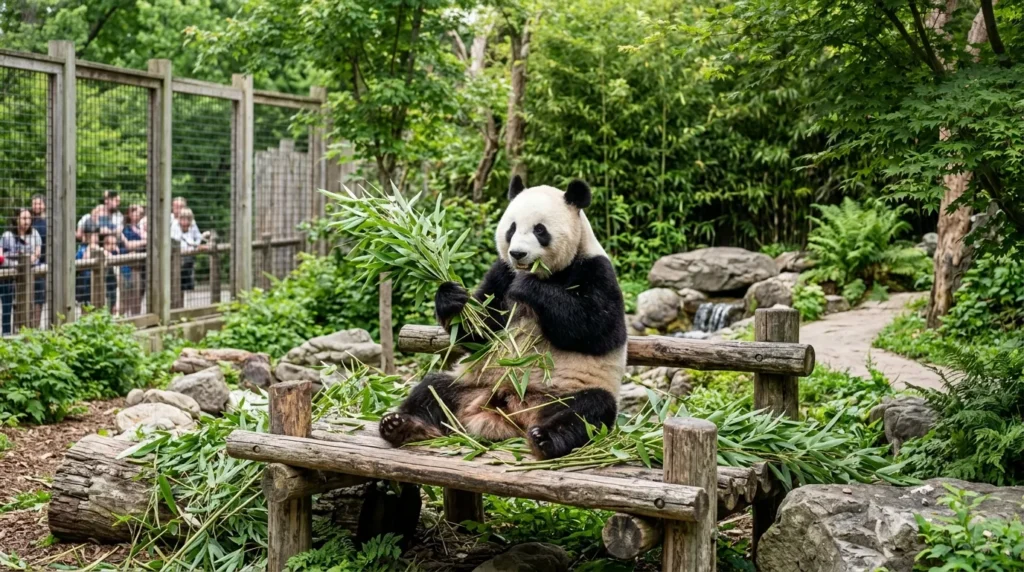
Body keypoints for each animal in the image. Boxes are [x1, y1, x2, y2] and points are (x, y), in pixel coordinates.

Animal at [379, 175, 627, 459]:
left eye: (540, 230)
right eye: (512, 228)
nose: (517, 253)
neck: (543, 272)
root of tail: (512, 412)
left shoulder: (595, 269)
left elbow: (599, 329)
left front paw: (529, 288)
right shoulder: (501, 272)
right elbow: (480, 331)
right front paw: (451, 298)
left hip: (568, 392)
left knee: (588, 410)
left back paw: (545, 439)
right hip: (470, 383)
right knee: (432, 389)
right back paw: (400, 425)